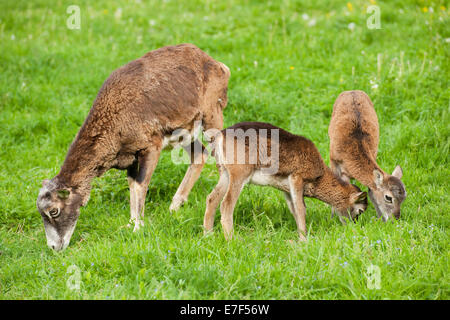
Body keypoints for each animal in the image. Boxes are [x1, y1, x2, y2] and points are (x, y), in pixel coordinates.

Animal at [37, 43, 230, 250]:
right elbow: (132, 184)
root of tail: (218, 65)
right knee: (199, 155)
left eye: (54, 211)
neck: (115, 117)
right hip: (185, 133)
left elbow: (140, 184)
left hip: (212, 118)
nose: (54, 247)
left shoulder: (151, 148)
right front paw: (130, 224)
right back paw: (174, 208)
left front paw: (138, 228)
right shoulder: (130, 157)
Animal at [204, 122, 370, 240]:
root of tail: (219, 136)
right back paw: (232, 239)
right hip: (240, 173)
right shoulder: (297, 177)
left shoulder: (285, 188)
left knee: (211, 198)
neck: (319, 176)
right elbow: (302, 208)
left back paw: (208, 235)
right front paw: (304, 239)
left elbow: (294, 209)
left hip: (224, 172)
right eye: (360, 210)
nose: (352, 228)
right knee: (226, 204)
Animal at [328, 89, 406, 221]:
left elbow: (371, 191)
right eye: (388, 197)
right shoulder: (334, 161)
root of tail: (352, 91)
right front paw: (336, 218)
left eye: (404, 197)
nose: (395, 219)